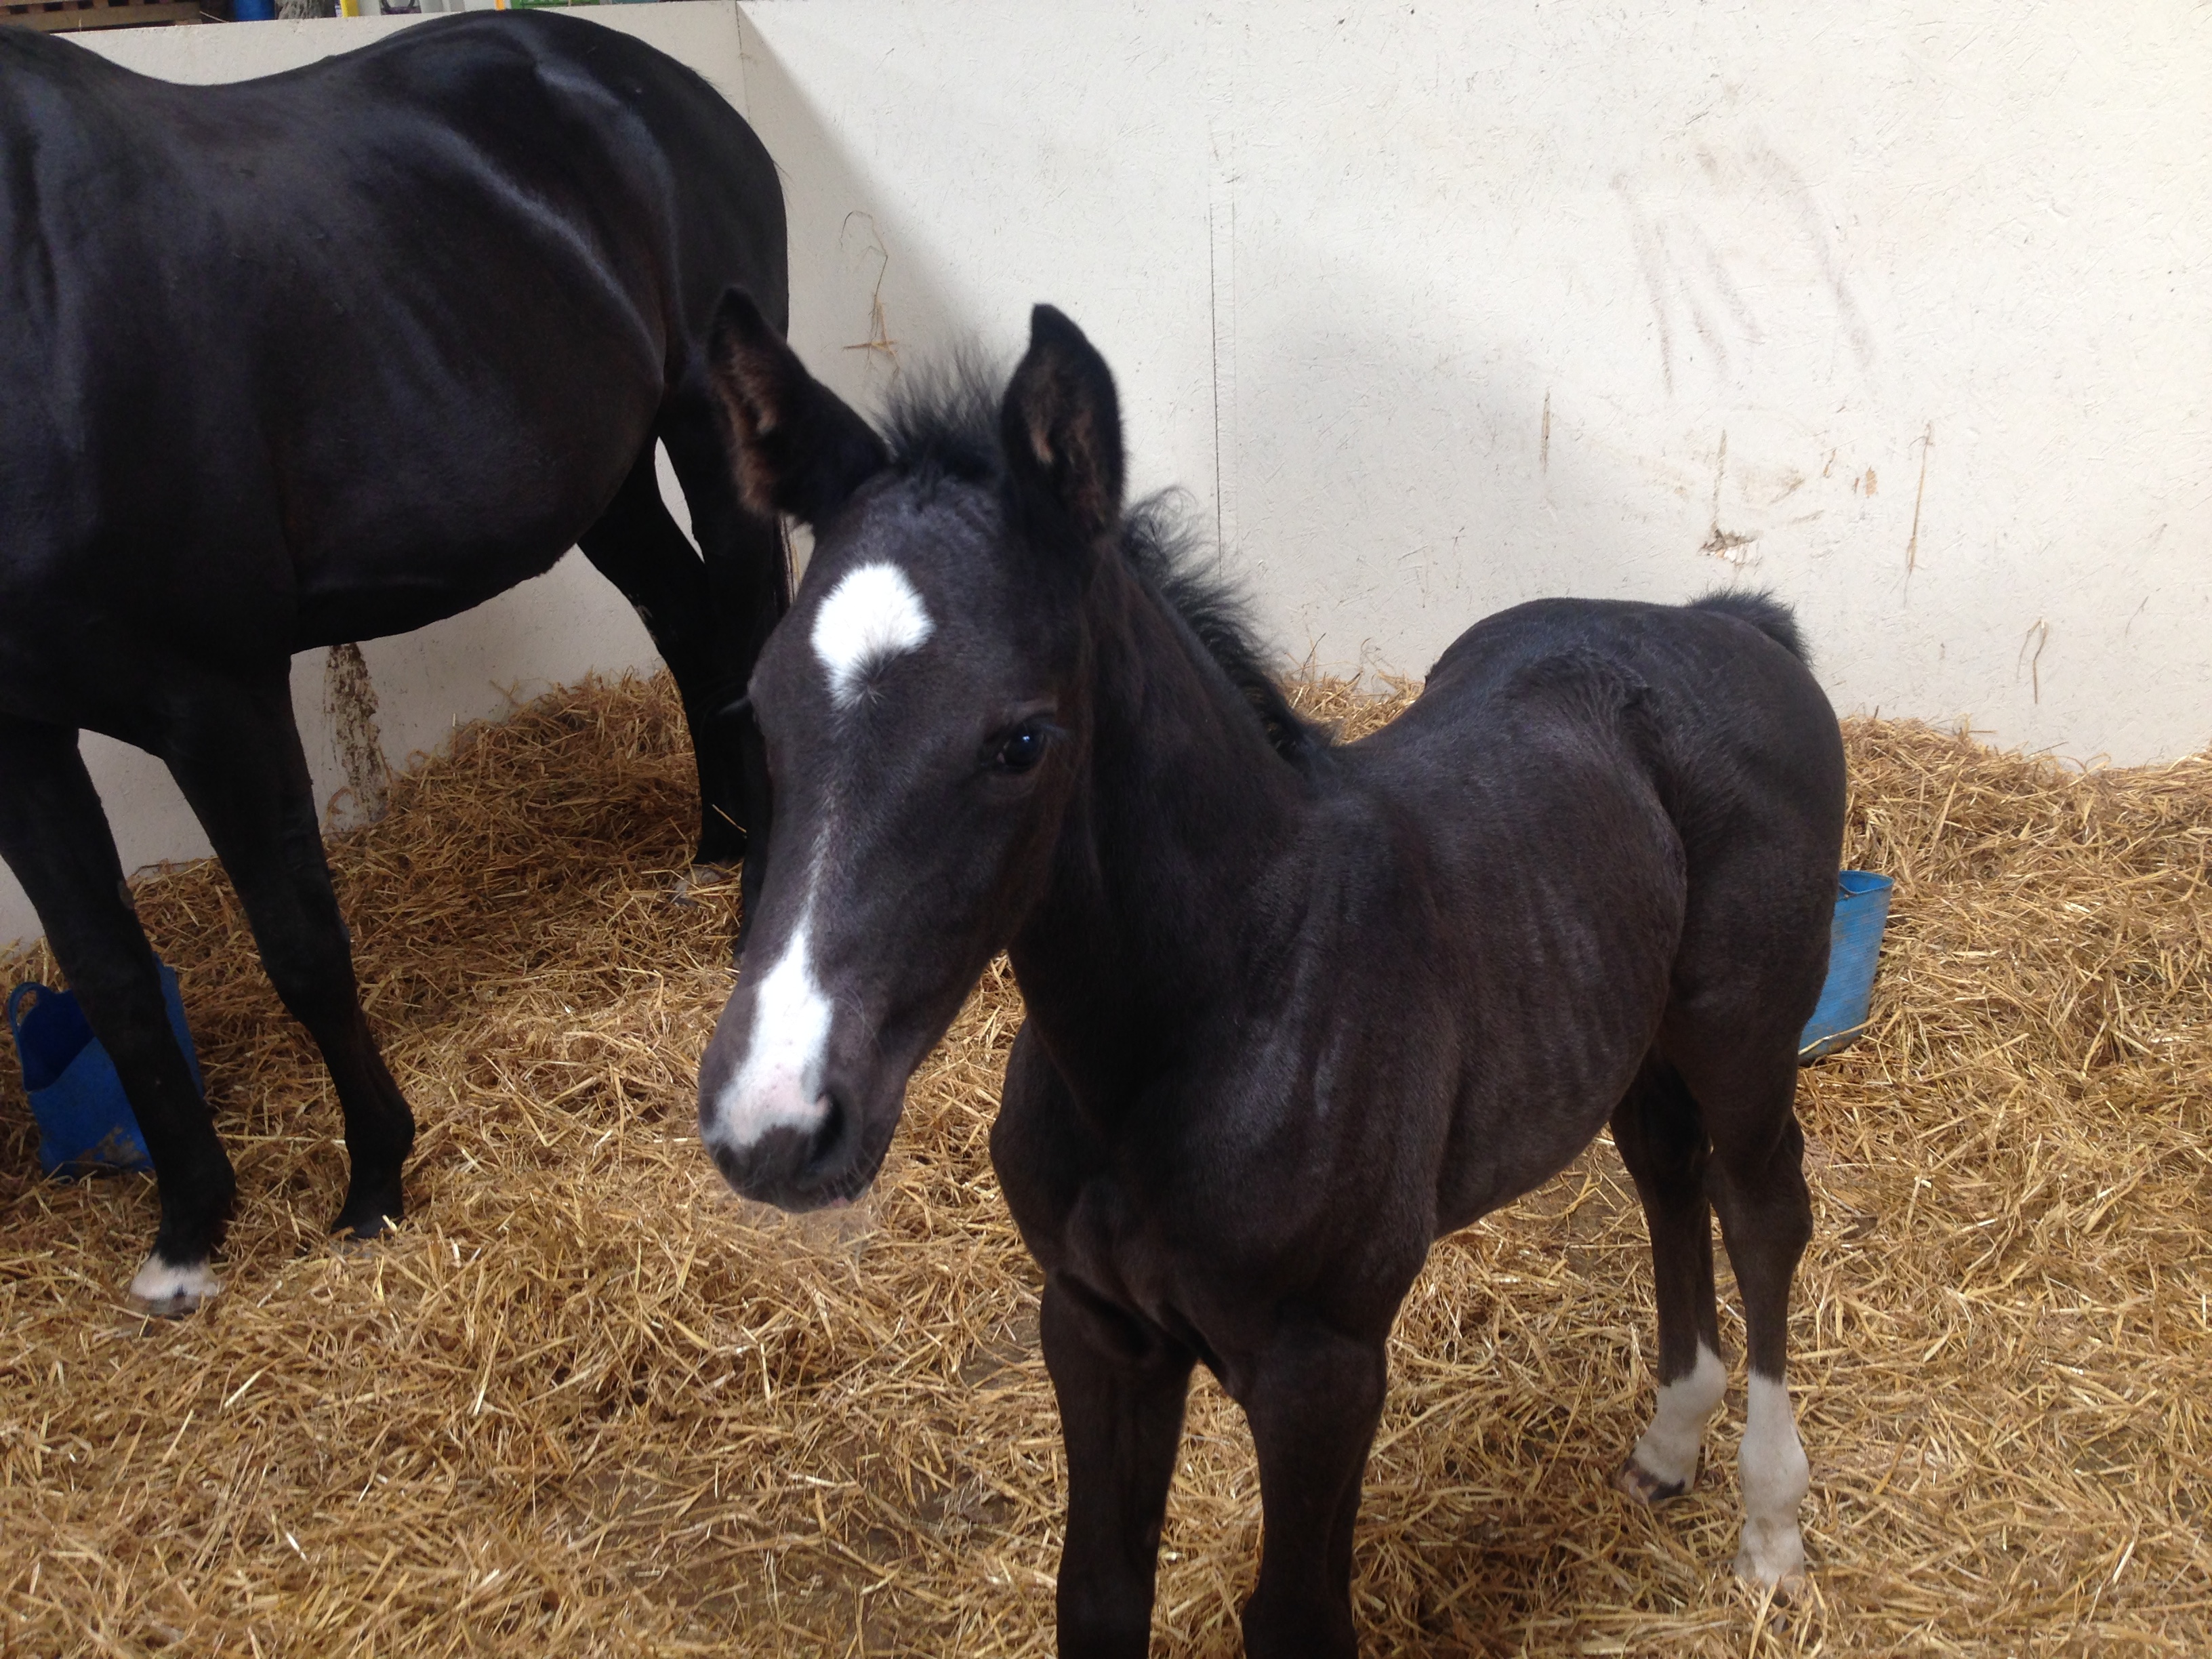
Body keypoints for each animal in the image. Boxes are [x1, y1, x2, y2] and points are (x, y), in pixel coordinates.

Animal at [0, 13, 787, 1315]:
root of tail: (667, 86)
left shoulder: (218, 693)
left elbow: (303, 946)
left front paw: (374, 1175)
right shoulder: (18, 736)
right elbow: (111, 981)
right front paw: (189, 1226)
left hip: (711, 428)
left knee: (754, 628)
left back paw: (753, 903)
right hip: (607, 474)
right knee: (688, 625)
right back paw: (712, 850)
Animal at [693, 292, 1847, 1655]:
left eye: (1019, 740)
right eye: (758, 708)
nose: (773, 1124)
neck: (1225, 998)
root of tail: (1728, 622)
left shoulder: (1322, 1370)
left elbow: (1296, 1617)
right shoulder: (1094, 1327)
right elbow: (1097, 1594)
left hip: (1742, 1028)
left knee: (1760, 1205)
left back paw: (1768, 1526)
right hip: (1629, 1027)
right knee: (1665, 1171)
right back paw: (1668, 1443)